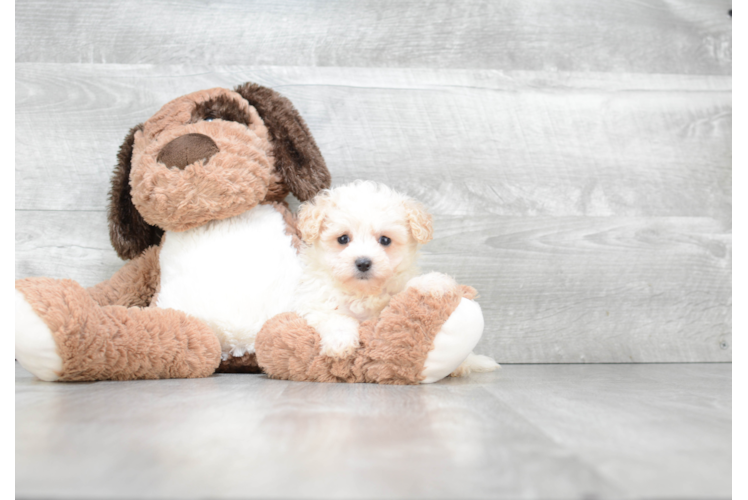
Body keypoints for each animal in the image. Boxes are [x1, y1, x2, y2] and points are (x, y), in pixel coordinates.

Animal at [296, 180, 500, 376]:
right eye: (343, 239)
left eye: (385, 240)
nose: (363, 263)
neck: (364, 292)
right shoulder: (317, 304)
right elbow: (334, 317)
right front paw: (340, 342)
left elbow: (409, 287)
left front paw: (433, 282)